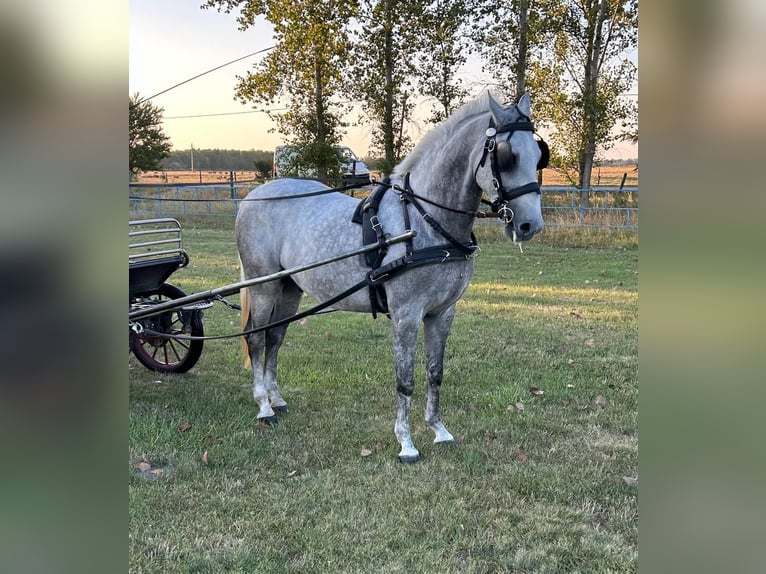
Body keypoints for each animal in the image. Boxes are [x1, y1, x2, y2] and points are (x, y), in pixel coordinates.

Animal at [238, 92, 544, 466]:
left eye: (538, 155)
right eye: (507, 156)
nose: (530, 225)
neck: (425, 221)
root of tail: (256, 196)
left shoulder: (442, 313)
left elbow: (434, 372)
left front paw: (439, 430)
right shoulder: (406, 314)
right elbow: (405, 379)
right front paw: (407, 443)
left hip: (290, 288)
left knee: (275, 338)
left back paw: (277, 399)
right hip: (263, 285)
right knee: (256, 339)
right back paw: (264, 406)